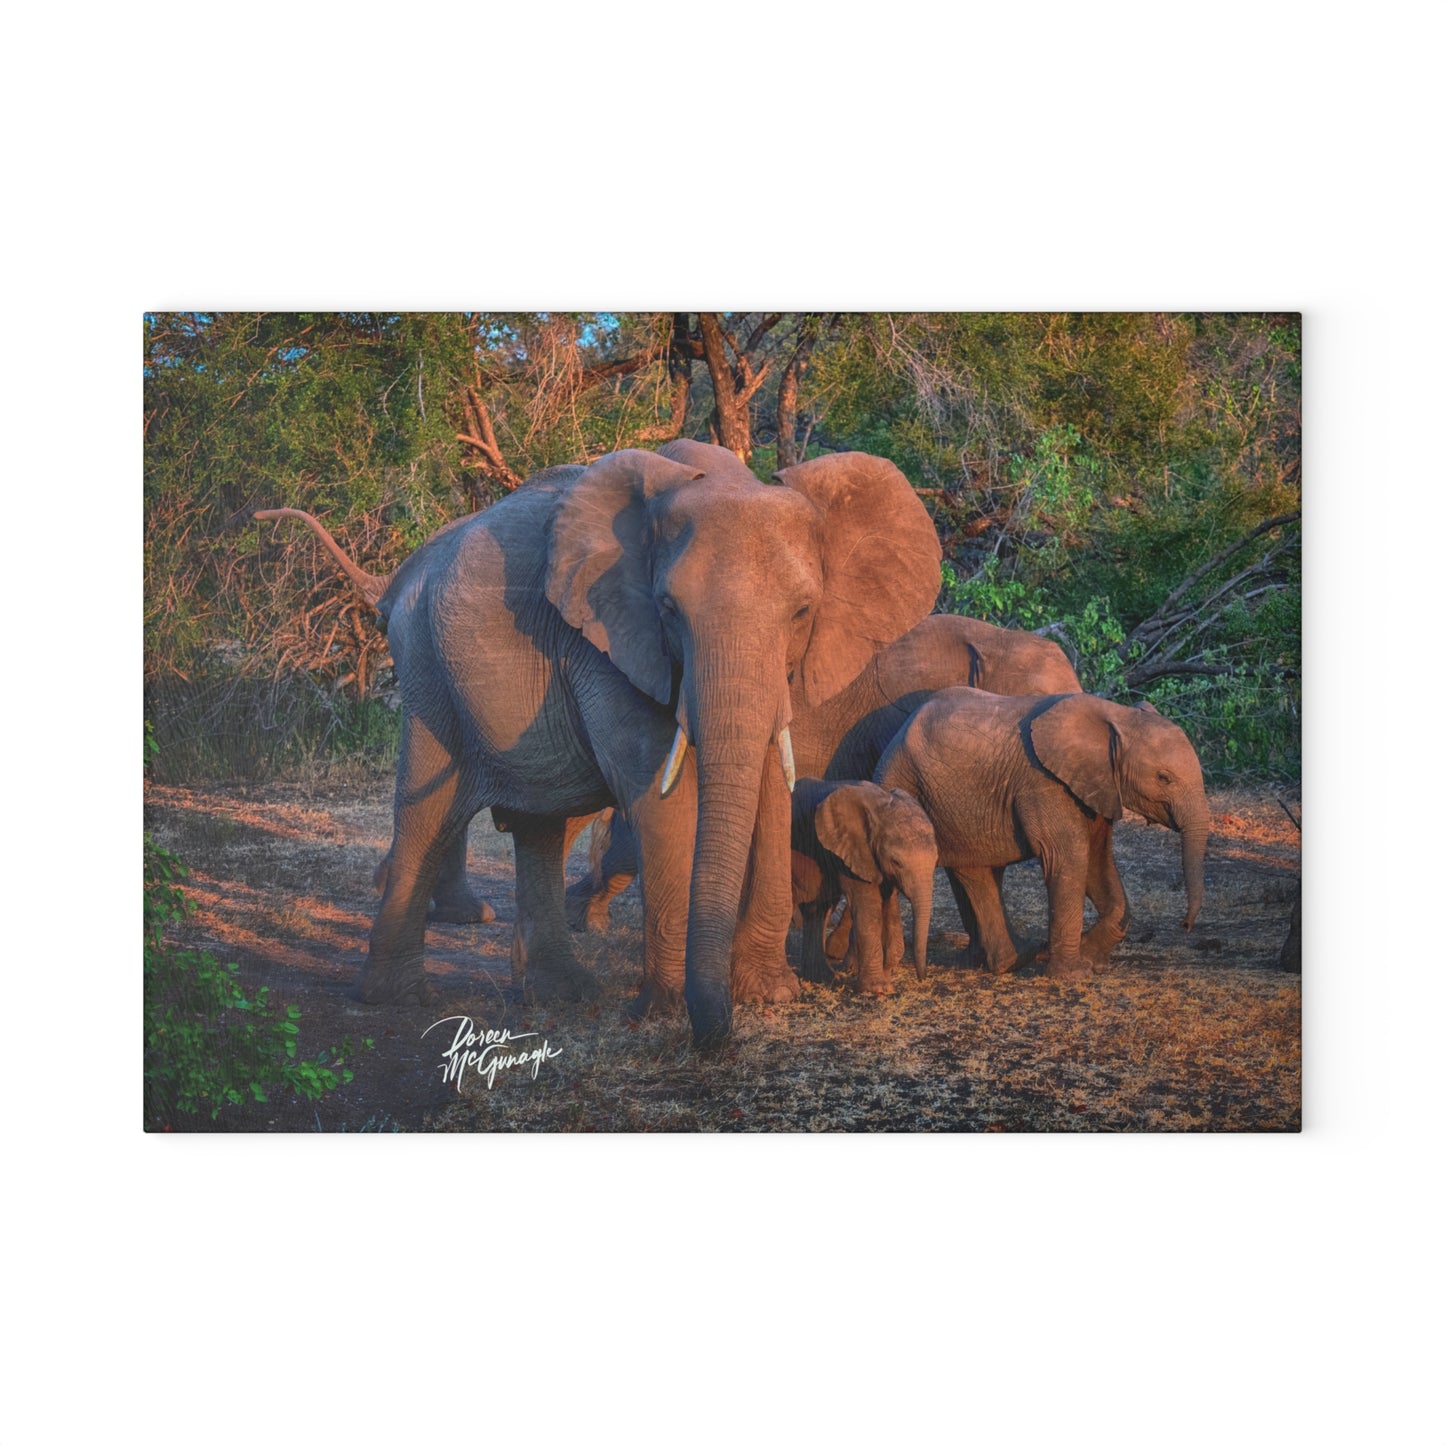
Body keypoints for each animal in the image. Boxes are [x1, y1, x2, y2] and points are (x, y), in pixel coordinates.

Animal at [790, 778, 937, 994]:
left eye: (936, 860)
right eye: (896, 862)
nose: (922, 978)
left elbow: (890, 907)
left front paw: (887, 981)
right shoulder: (852, 852)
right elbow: (868, 907)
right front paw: (877, 990)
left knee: (817, 910)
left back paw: (825, 977)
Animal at [873, 688, 1209, 978]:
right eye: (1164, 778)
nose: (1185, 925)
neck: (1117, 715)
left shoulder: (1097, 787)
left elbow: (1098, 860)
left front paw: (1090, 959)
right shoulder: (1044, 782)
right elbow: (1069, 856)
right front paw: (1072, 974)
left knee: (975, 870)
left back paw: (1013, 958)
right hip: (912, 785)